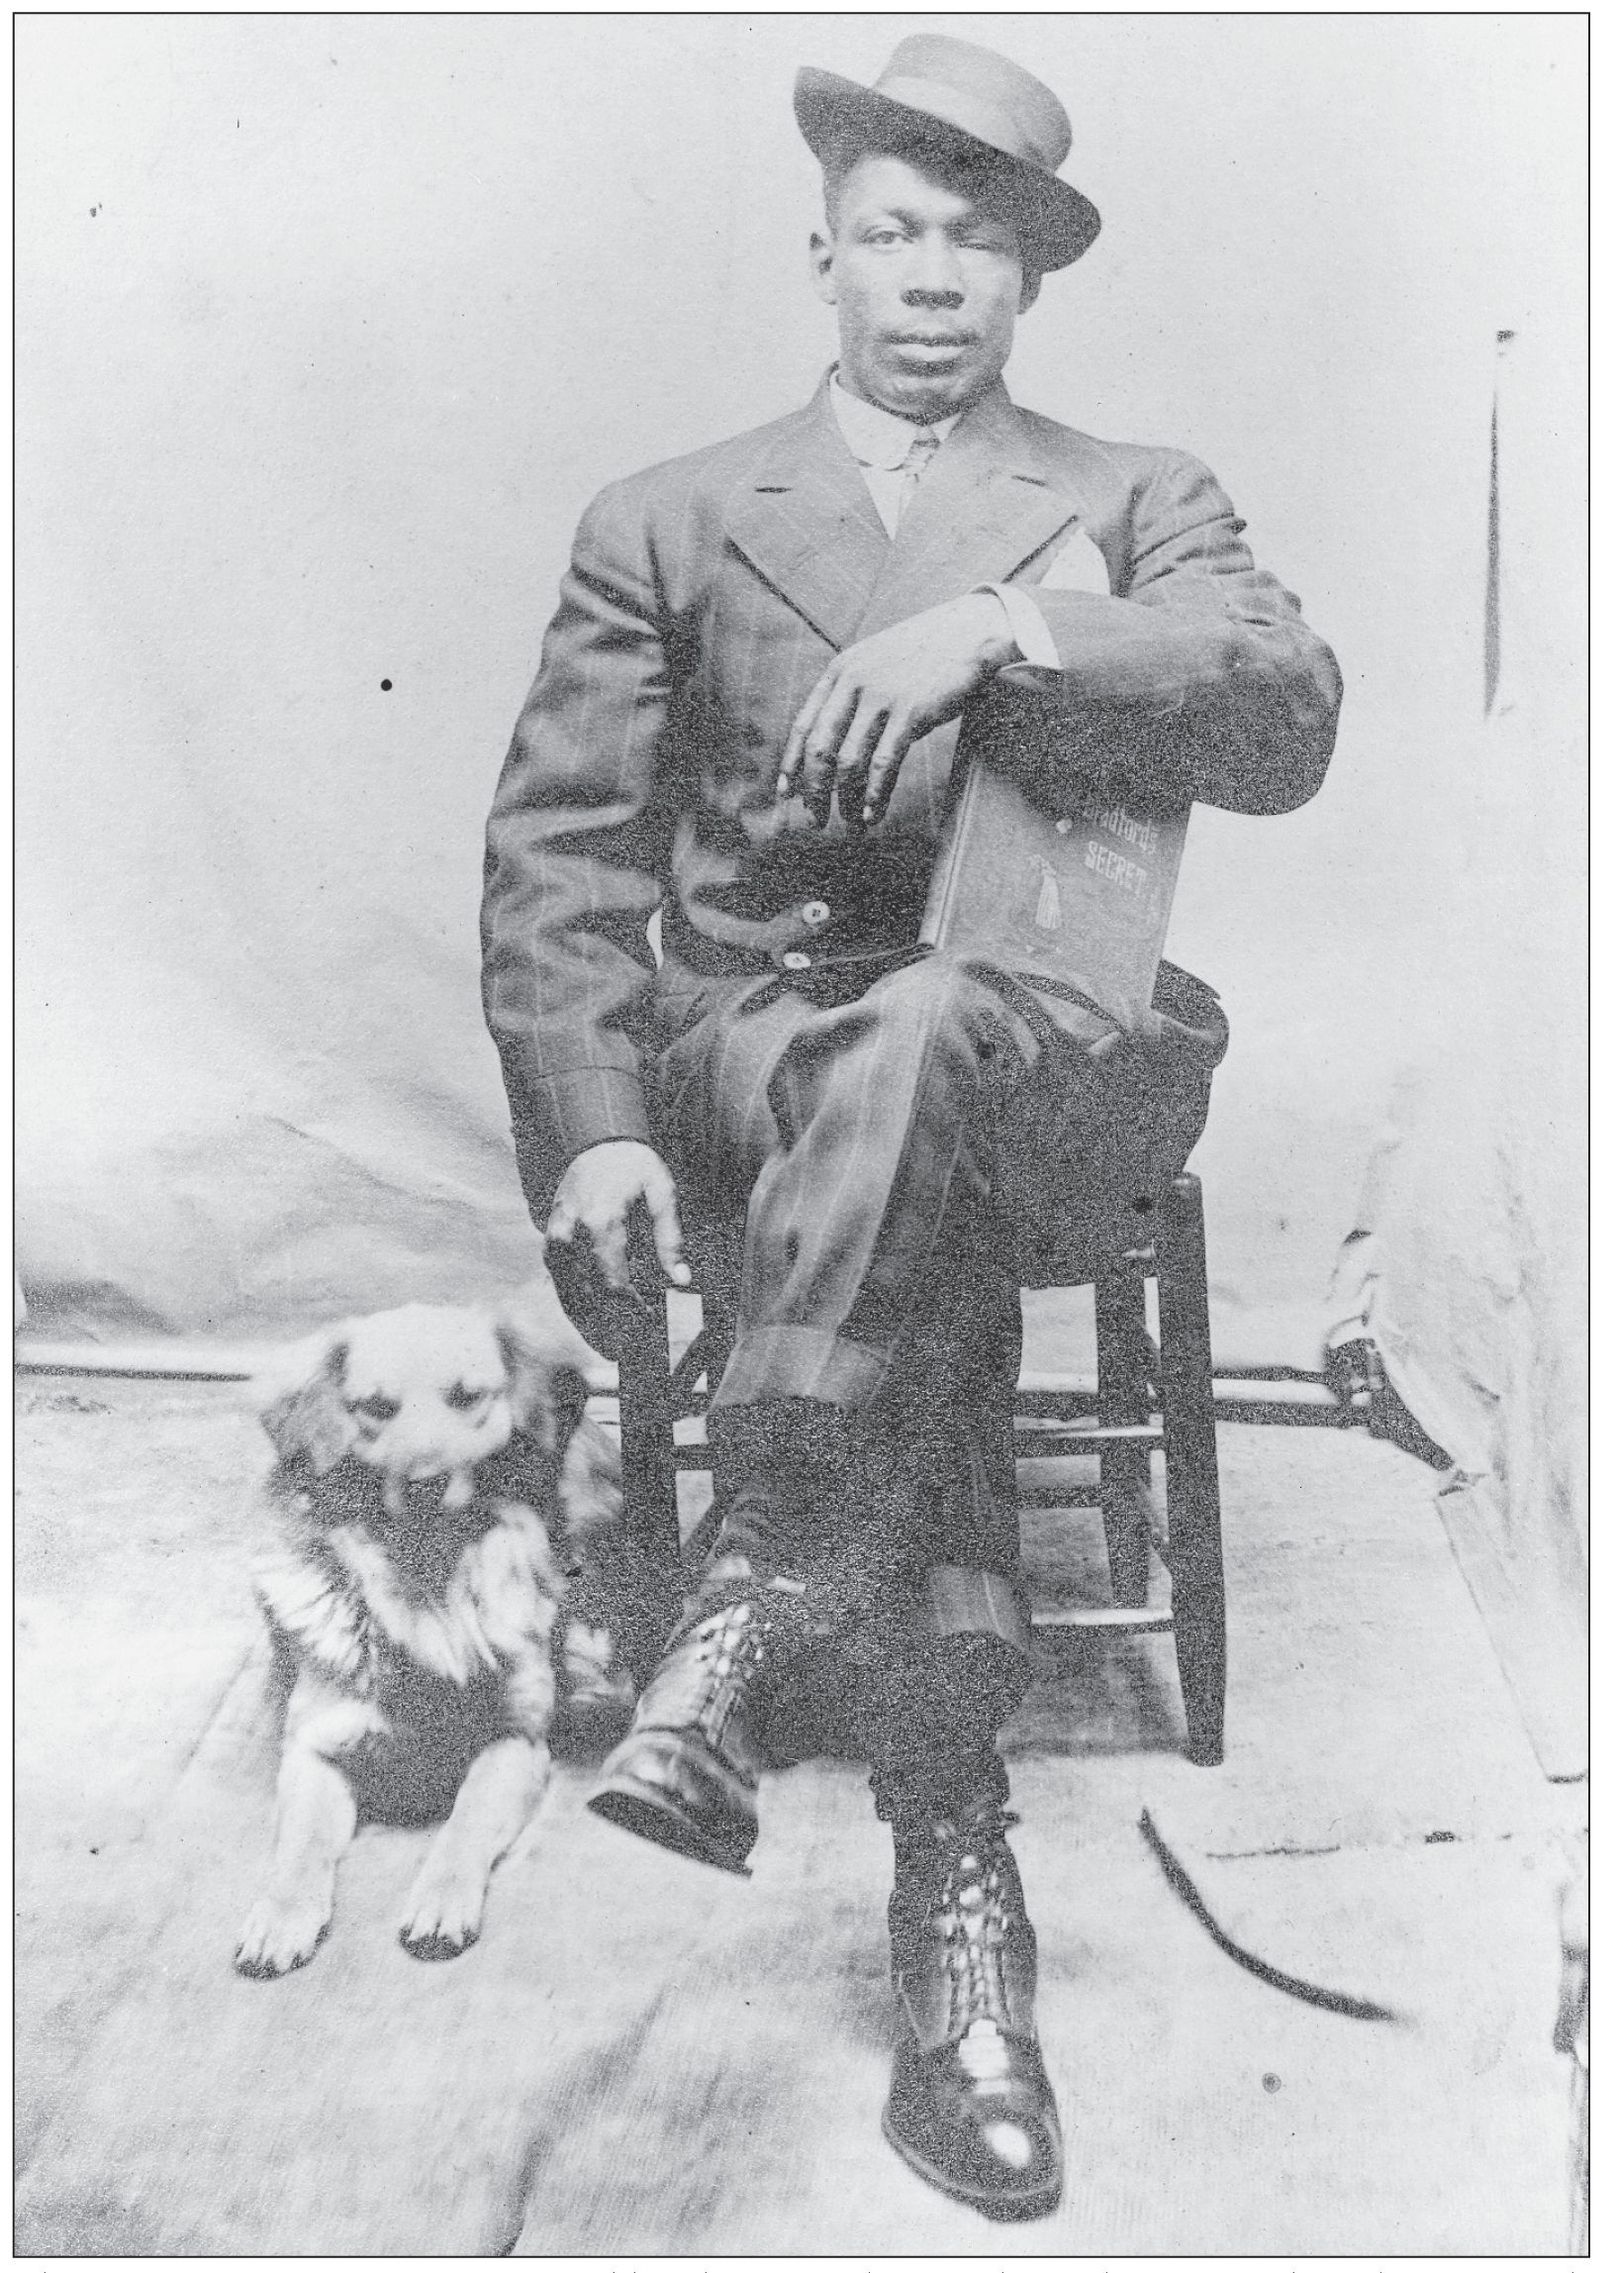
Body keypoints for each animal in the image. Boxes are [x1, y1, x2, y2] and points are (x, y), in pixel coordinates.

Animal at [234, 1309, 677, 1982]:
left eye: (468, 1398)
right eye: (375, 1408)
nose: (425, 1482)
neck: (429, 1586)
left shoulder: (515, 1743)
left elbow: (465, 1822)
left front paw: (441, 1901)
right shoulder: (316, 1748)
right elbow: (301, 1845)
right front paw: (280, 1917)